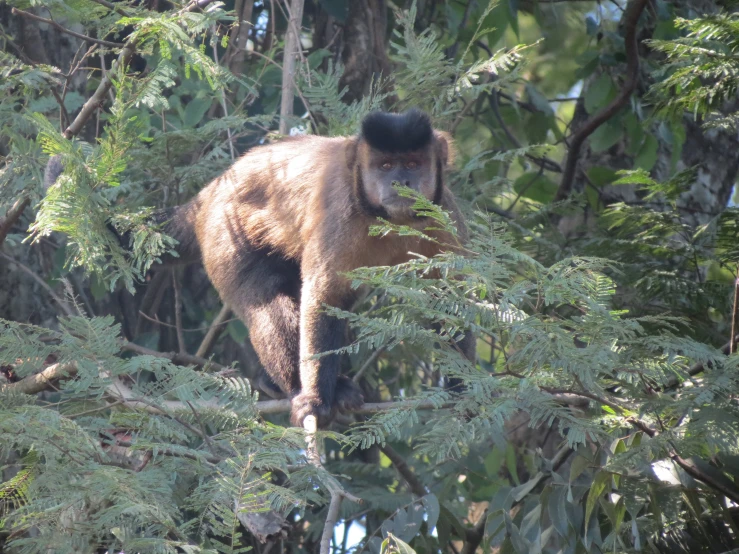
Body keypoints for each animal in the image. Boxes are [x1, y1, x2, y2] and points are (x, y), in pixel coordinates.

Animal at [44, 109, 474, 426]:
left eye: (413, 164)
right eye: (385, 166)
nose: (400, 182)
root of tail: (210, 192)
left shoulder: (443, 214)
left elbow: (452, 296)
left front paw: (464, 390)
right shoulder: (341, 213)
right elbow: (323, 299)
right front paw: (315, 398)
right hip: (225, 231)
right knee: (265, 299)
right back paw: (297, 388)